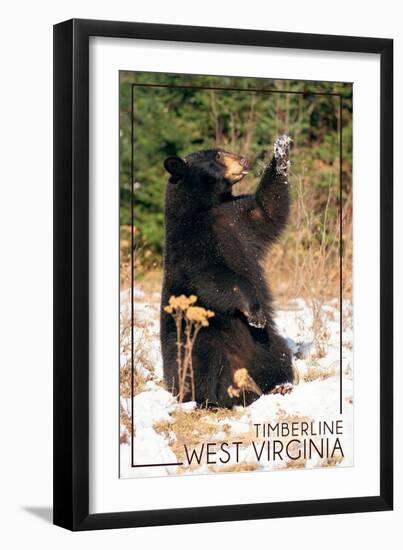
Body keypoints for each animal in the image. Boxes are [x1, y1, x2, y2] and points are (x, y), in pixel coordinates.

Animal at [160, 135, 294, 408]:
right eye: (218, 156)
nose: (243, 160)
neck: (210, 207)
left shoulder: (240, 217)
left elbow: (268, 208)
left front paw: (281, 149)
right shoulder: (190, 241)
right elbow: (213, 276)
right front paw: (255, 312)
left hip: (267, 343)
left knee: (279, 357)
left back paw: (278, 386)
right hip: (197, 334)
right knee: (200, 361)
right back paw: (208, 400)